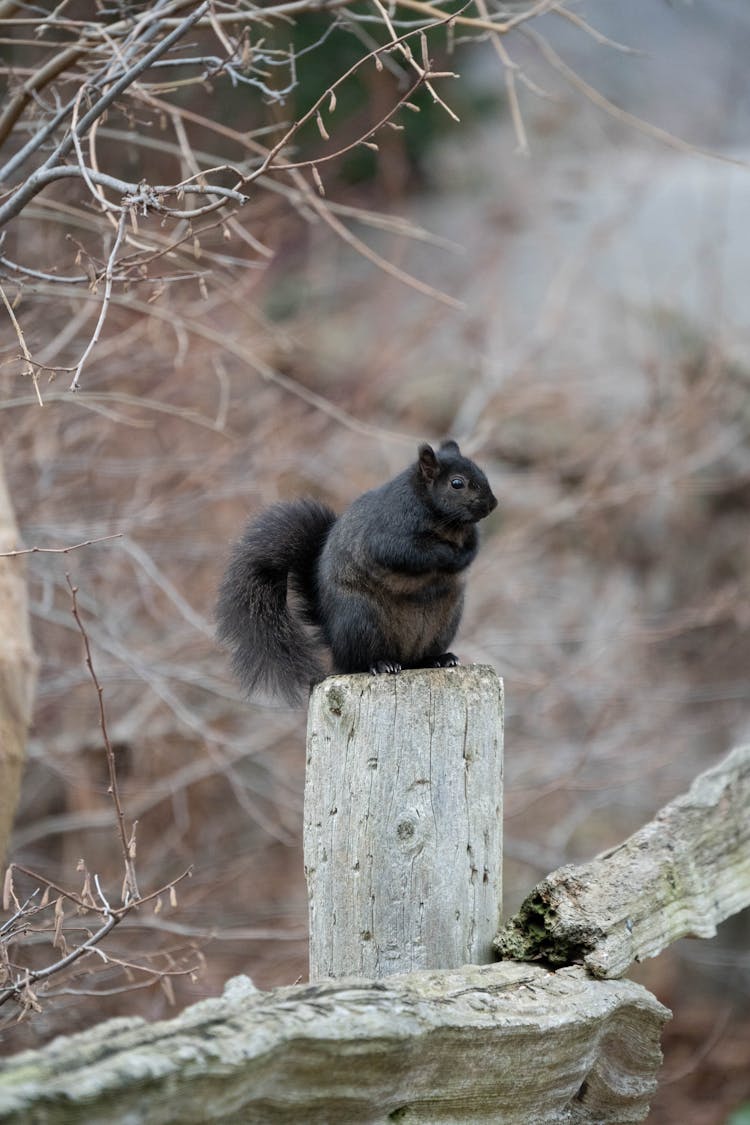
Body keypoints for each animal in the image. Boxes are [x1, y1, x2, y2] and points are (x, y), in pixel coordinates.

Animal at [215, 438, 499, 702]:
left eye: (481, 472)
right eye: (457, 483)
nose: (492, 504)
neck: (449, 525)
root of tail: (333, 640)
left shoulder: (469, 535)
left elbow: (473, 547)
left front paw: (463, 557)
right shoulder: (389, 532)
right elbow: (408, 553)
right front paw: (448, 554)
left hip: (444, 624)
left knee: (421, 656)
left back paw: (439, 659)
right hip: (360, 621)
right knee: (359, 662)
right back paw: (381, 664)